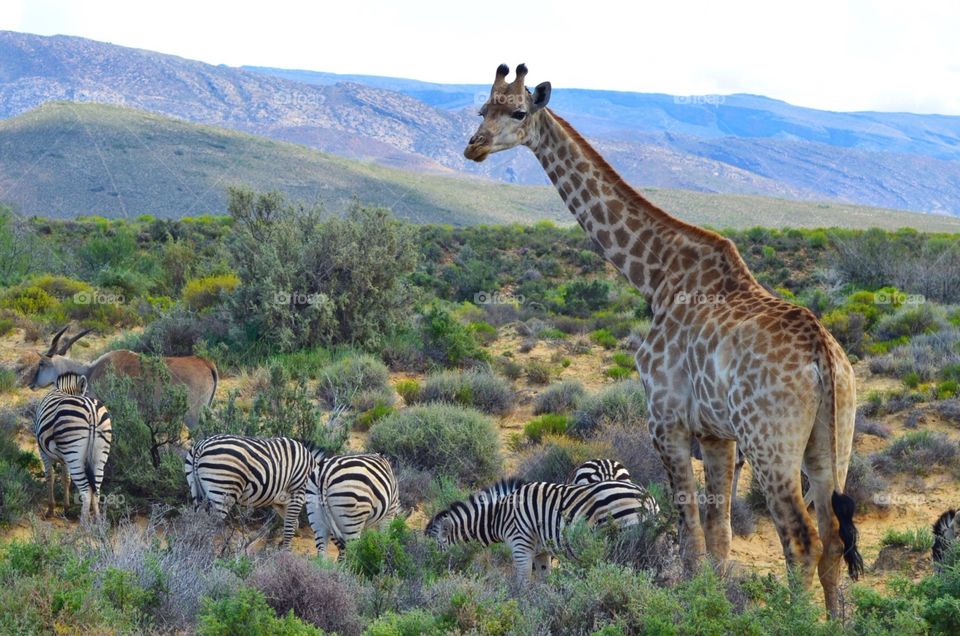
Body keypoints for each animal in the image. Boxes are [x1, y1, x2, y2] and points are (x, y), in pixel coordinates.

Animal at [33, 370, 111, 520]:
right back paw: (98, 522)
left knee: (86, 491)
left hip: (74, 454)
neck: (65, 391)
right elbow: (66, 479)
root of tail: (91, 409)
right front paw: (66, 508)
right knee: (96, 489)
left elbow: (50, 476)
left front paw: (50, 509)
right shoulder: (65, 458)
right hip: (99, 456)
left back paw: (83, 524)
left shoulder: (43, 451)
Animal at [182, 434, 314, 548]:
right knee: (209, 527)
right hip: (223, 490)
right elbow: (290, 526)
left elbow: (293, 523)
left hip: (196, 490)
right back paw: (206, 555)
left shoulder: (280, 501)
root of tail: (202, 445)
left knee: (196, 524)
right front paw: (285, 552)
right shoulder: (297, 492)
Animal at [426, 476, 660, 580]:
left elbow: (522, 582)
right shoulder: (541, 552)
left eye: (438, 548)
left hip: (624, 540)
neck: (499, 517)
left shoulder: (520, 546)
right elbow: (543, 580)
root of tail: (646, 496)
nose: (434, 574)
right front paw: (543, 603)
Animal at [468, 64, 868, 616]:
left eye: (518, 112)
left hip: (771, 443)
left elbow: (689, 537)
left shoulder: (666, 420)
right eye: (480, 108)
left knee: (801, 539)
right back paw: (834, 622)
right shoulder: (718, 434)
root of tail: (823, 356)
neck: (654, 275)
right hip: (834, 439)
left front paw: (692, 606)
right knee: (832, 536)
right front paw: (717, 605)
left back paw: (797, 621)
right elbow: (719, 537)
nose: (474, 147)